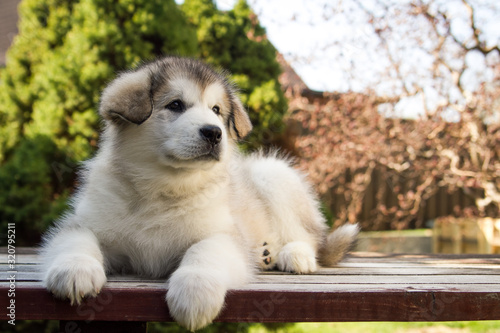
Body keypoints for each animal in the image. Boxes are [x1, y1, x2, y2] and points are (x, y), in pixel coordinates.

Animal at [41, 56, 358, 330]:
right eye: (176, 104)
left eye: (216, 110)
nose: (214, 133)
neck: (164, 187)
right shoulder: (85, 222)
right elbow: (77, 238)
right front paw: (75, 270)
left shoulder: (224, 234)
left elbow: (204, 250)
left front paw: (194, 292)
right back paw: (266, 254)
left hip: (273, 175)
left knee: (309, 237)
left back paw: (293, 255)